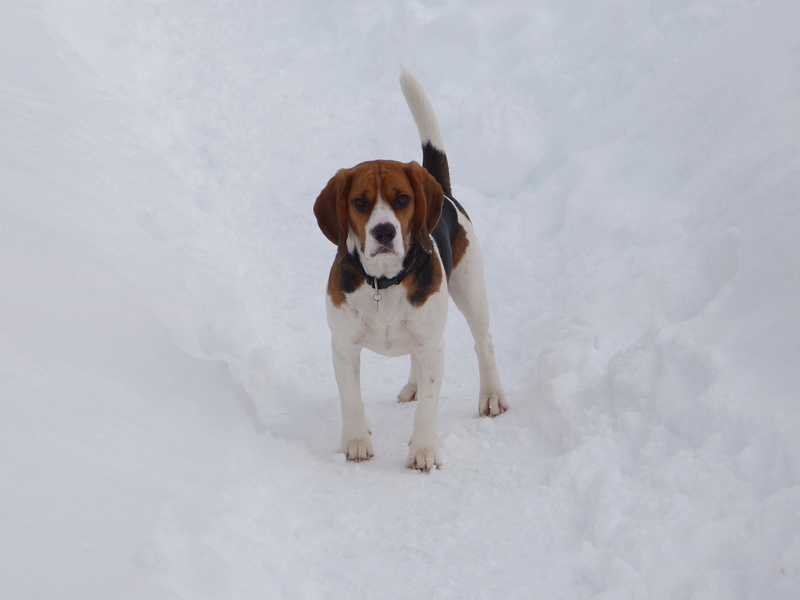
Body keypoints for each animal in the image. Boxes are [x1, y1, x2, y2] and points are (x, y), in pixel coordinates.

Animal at [316, 70, 510, 472]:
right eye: (360, 202)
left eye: (402, 199)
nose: (384, 232)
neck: (384, 280)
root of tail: (443, 190)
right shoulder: (343, 345)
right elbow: (351, 400)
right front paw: (356, 443)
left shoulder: (434, 346)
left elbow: (429, 409)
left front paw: (423, 451)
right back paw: (414, 385)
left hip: (471, 293)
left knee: (484, 343)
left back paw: (491, 395)